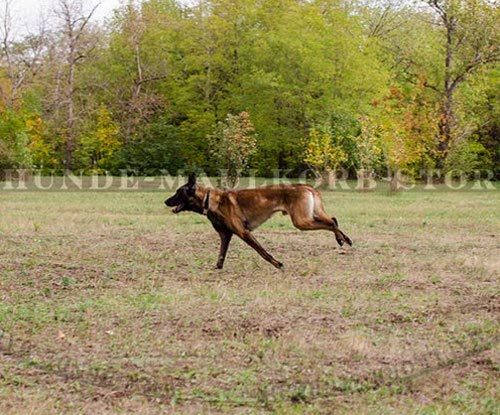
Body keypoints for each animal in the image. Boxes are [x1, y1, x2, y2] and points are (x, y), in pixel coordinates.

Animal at [165, 173, 352, 268]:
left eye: (178, 192)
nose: (165, 201)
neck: (209, 199)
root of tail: (307, 186)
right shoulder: (226, 236)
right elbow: (220, 257)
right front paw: (216, 268)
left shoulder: (244, 232)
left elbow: (261, 251)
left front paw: (277, 264)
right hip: (309, 216)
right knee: (333, 220)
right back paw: (343, 239)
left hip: (301, 221)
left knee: (331, 223)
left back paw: (343, 239)